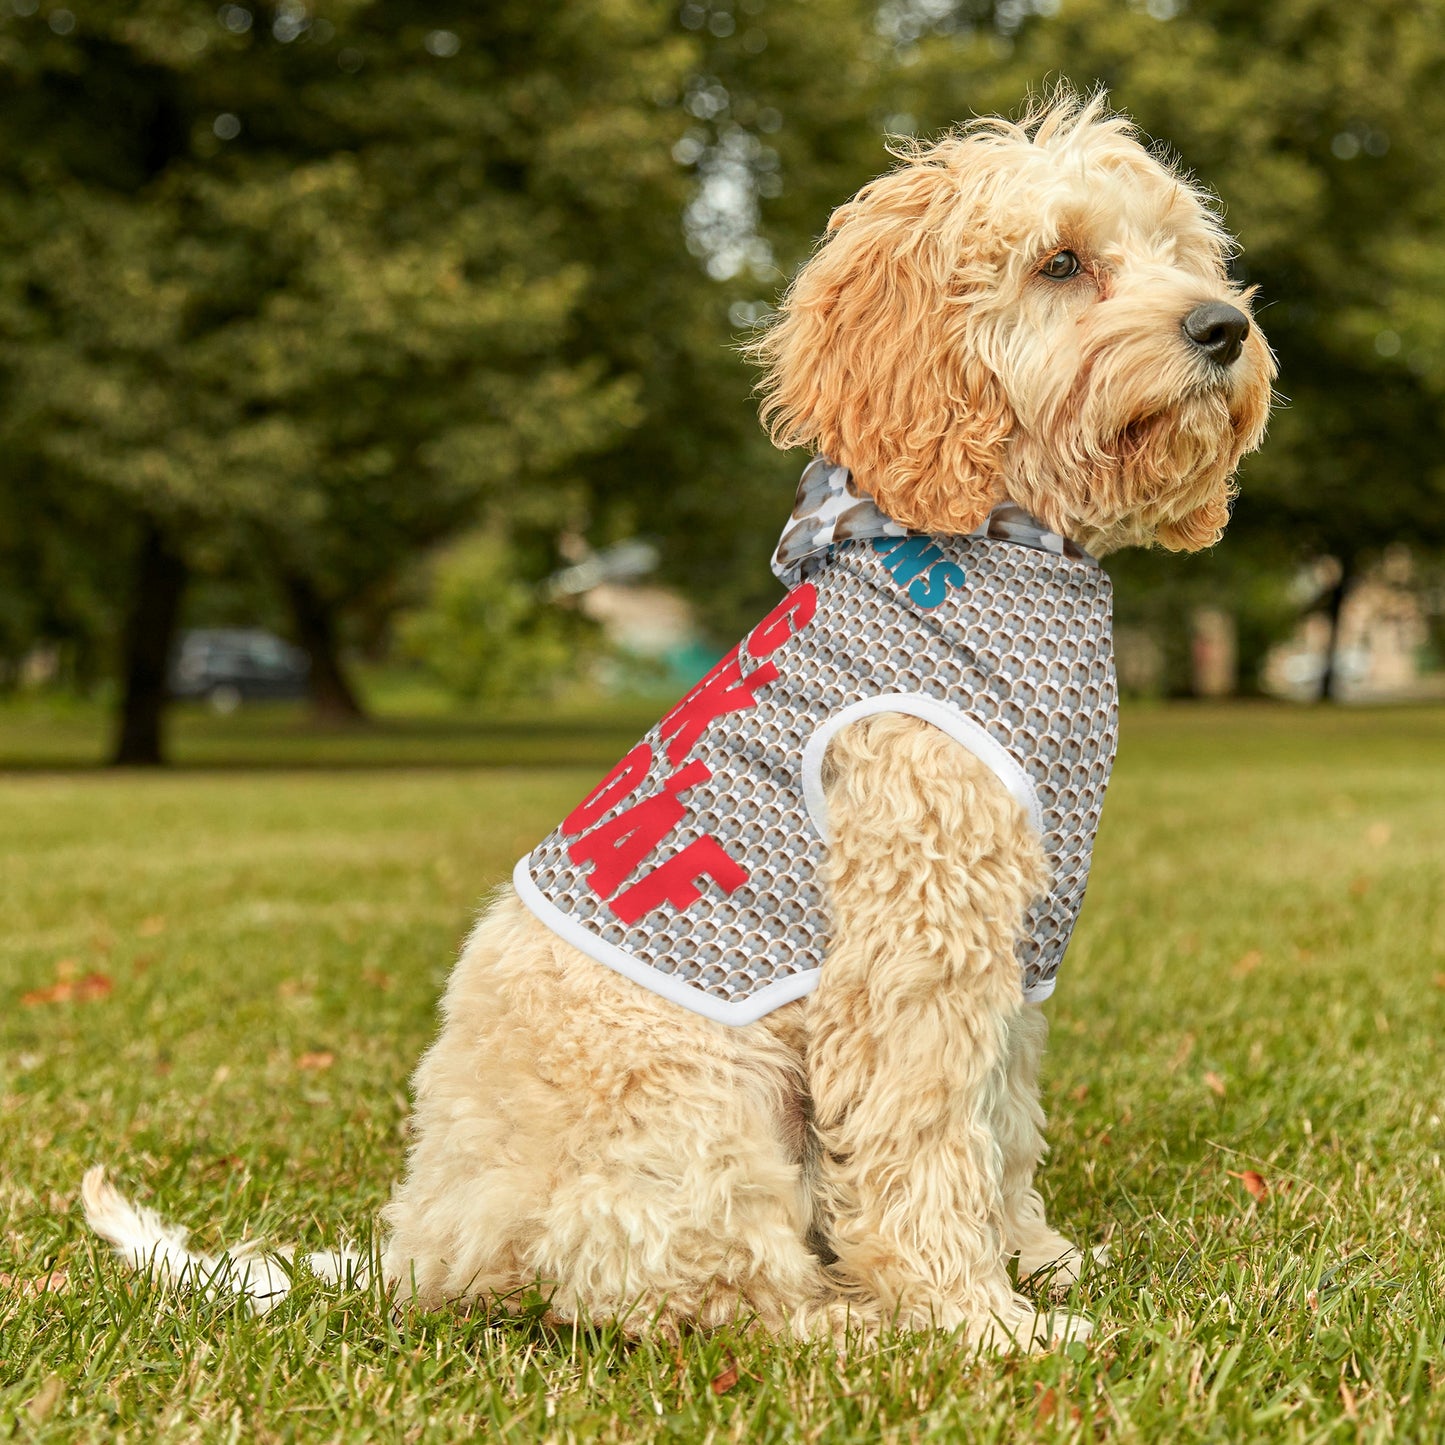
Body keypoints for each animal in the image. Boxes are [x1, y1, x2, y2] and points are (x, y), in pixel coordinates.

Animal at [84, 93, 1271, 1352]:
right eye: (1060, 262)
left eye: (1180, 252)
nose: (1222, 326)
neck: (995, 536)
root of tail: (424, 1245)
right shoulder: (912, 939)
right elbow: (923, 1140)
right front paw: (978, 1319)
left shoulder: (1010, 944)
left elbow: (999, 1122)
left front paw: (1036, 1260)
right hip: (703, 1105)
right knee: (701, 1291)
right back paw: (852, 1322)